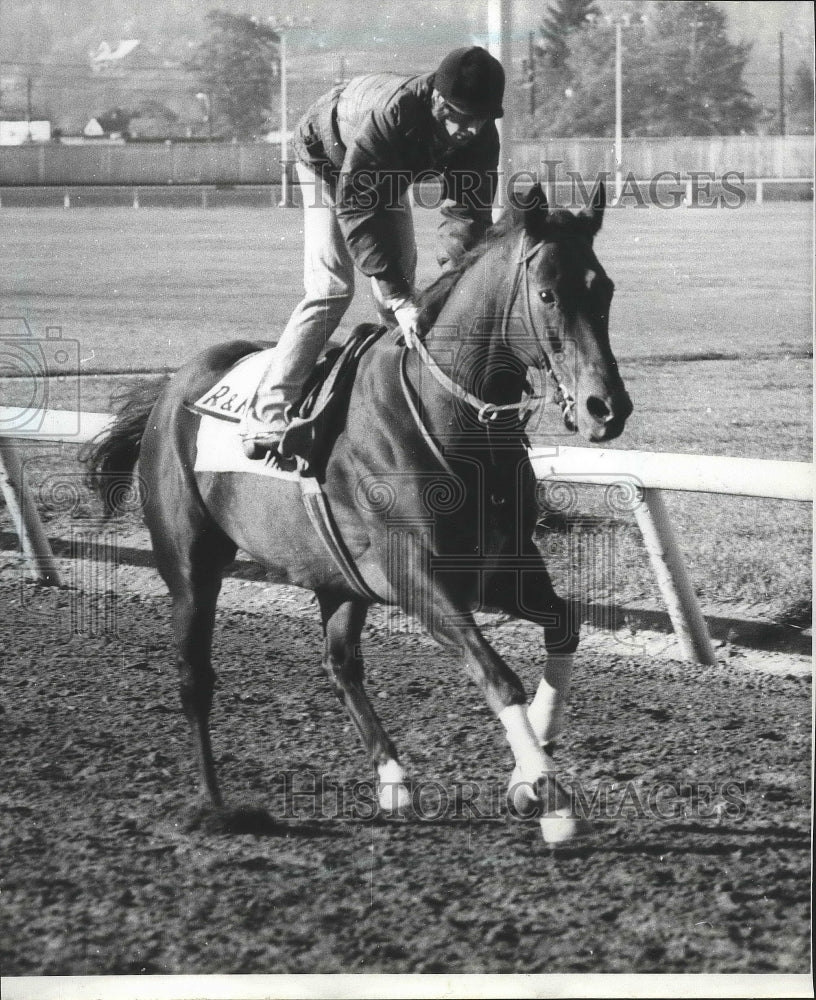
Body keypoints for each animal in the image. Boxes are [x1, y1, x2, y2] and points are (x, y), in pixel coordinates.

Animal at [84, 184, 632, 840]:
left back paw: (394, 780)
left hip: (338, 580)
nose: (607, 408)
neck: (450, 419)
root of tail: (171, 392)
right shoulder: (419, 578)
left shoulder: (503, 569)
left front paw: (529, 776)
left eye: (604, 289)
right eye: (547, 293)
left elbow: (566, 625)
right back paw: (215, 805)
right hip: (191, 567)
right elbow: (497, 674)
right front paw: (551, 799)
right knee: (196, 678)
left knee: (340, 663)